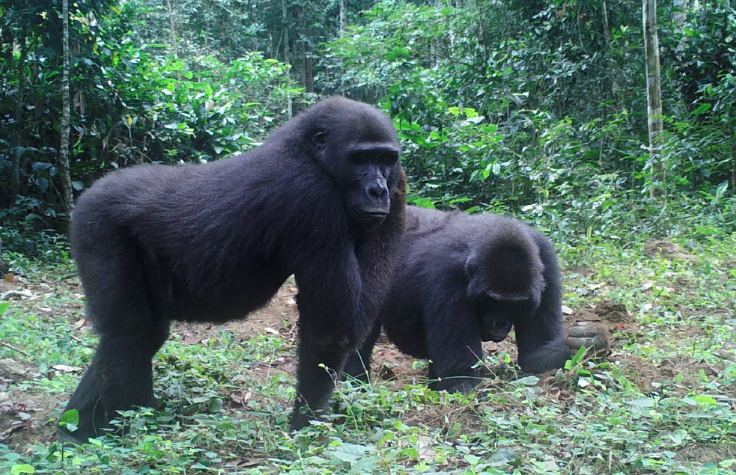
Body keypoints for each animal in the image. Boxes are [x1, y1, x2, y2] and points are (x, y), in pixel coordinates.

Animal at [61, 96, 408, 442]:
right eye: (360, 159)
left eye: (385, 159)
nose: (378, 190)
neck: (307, 151)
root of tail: (90, 191)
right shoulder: (314, 201)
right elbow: (331, 333)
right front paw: (306, 430)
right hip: (97, 227)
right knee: (130, 335)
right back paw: (134, 428)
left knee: (138, 336)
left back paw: (75, 428)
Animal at [342, 208, 600, 394]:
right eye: (493, 301)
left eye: (516, 304)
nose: (500, 323)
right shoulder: (448, 275)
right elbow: (461, 379)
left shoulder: (547, 261)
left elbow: (535, 355)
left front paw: (589, 342)